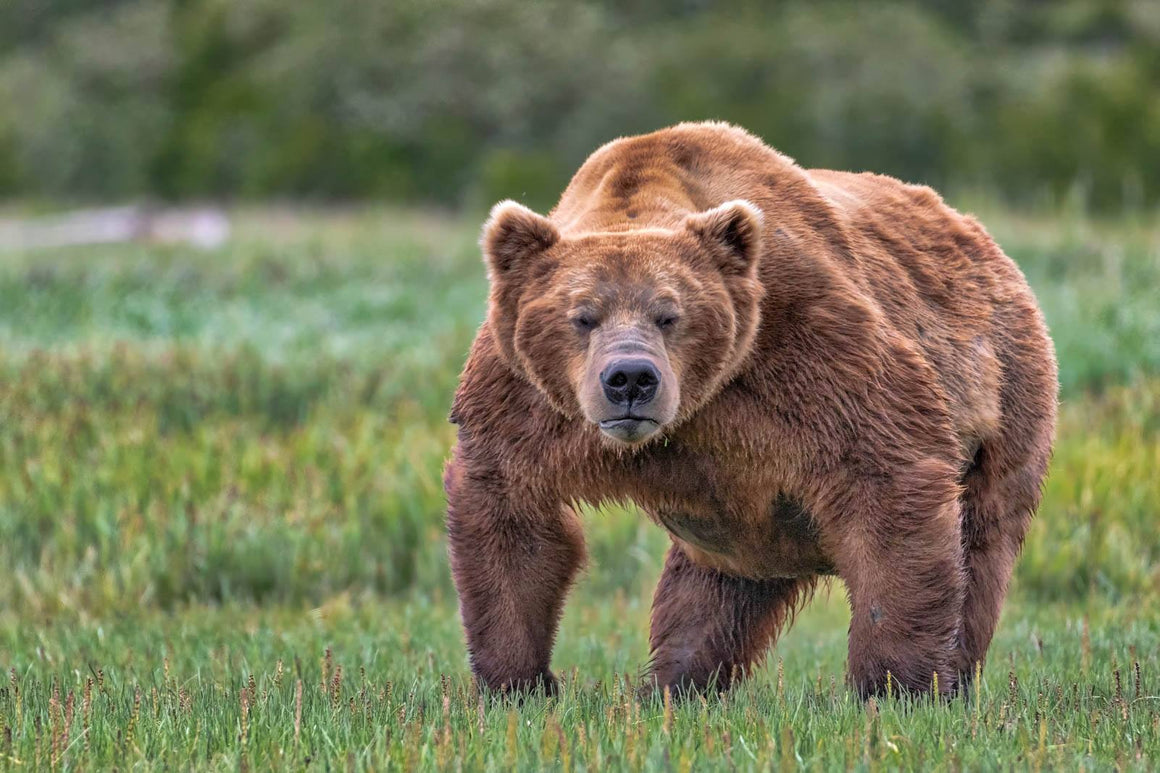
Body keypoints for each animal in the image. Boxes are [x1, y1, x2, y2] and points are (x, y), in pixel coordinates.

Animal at [444, 121, 1057, 699]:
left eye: (670, 314)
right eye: (582, 316)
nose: (631, 379)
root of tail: (979, 235)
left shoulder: (807, 345)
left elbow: (888, 475)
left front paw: (895, 685)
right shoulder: (526, 398)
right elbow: (511, 514)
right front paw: (516, 683)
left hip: (1006, 393)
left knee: (982, 546)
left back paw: (956, 676)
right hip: (744, 531)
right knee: (710, 596)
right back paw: (675, 685)